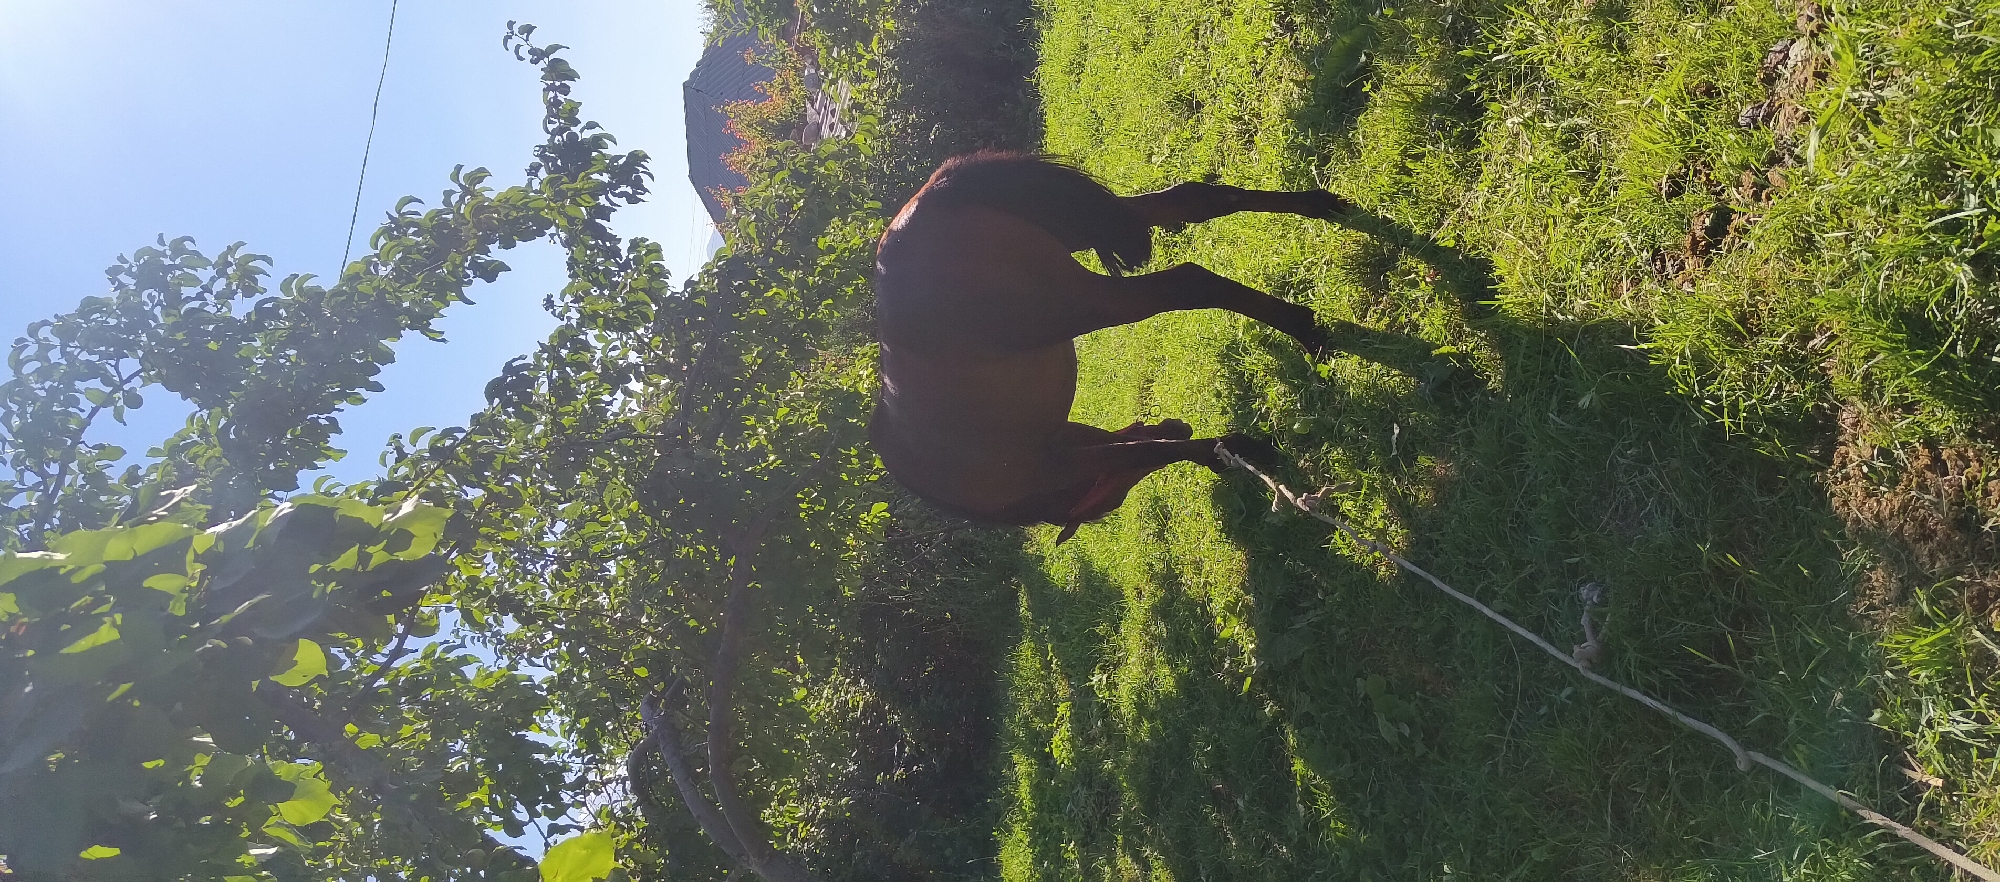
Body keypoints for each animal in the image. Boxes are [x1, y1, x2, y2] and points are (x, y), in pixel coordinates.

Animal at [870, 151, 1350, 542]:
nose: (1179, 425)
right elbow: (1144, 448)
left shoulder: (1059, 464)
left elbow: (1145, 452)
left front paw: (1235, 449)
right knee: (1195, 199)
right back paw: (1318, 207)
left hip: (1084, 303)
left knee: (1186, 282)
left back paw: (1305, 329)